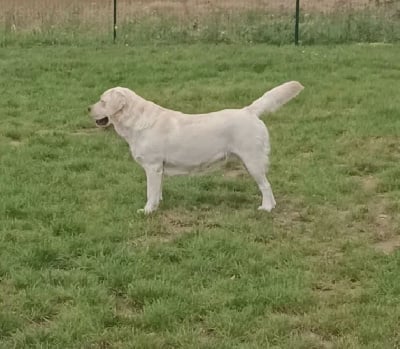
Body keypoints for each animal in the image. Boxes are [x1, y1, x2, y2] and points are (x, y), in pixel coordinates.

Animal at [90, 82, 304, 212]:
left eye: (102, 101)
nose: (88, 108)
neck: (136, 121)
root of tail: (249, 111)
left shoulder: (152, 166)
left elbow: (150, 191)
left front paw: (148, 210)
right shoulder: (159, 169)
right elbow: (158, 190)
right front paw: (157, 205)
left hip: (253, 161)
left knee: (265, 186)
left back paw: (266, 208)